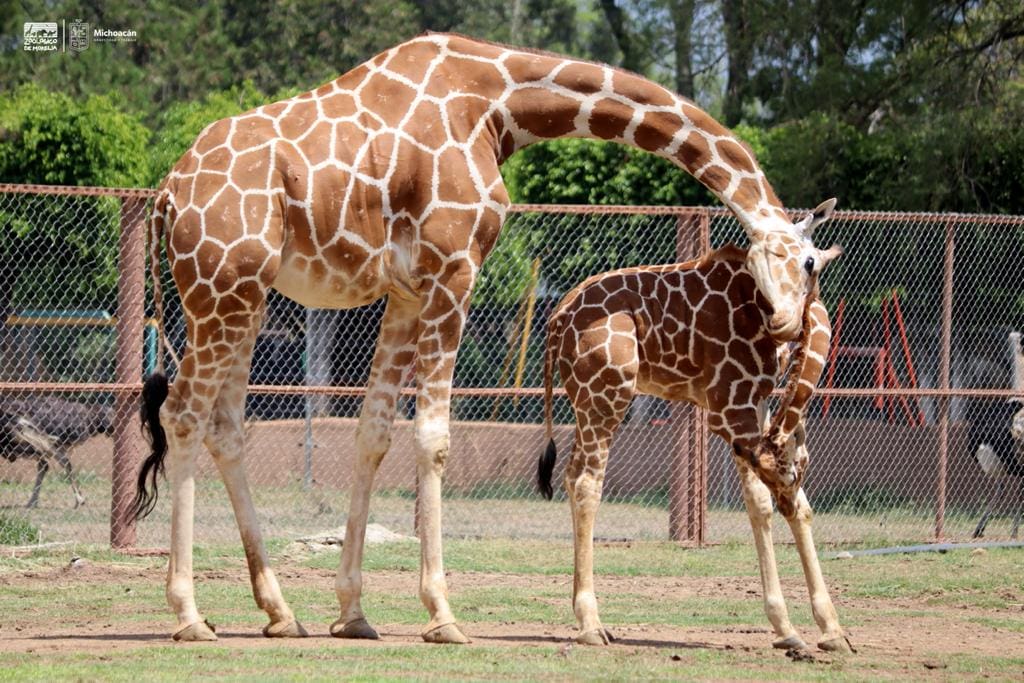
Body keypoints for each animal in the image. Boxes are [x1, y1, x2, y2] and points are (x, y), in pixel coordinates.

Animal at [537, 222, 852, 652]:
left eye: (810, 262)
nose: (785, 320)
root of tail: (557, 318)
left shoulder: (756, 406)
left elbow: (768, 503)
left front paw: (824, 630)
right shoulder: (730, 407)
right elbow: (768, 501)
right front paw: (792, 627)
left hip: (589, 398)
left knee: (573, 475)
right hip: (605, 392)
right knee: (586, 481)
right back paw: (591, 625)